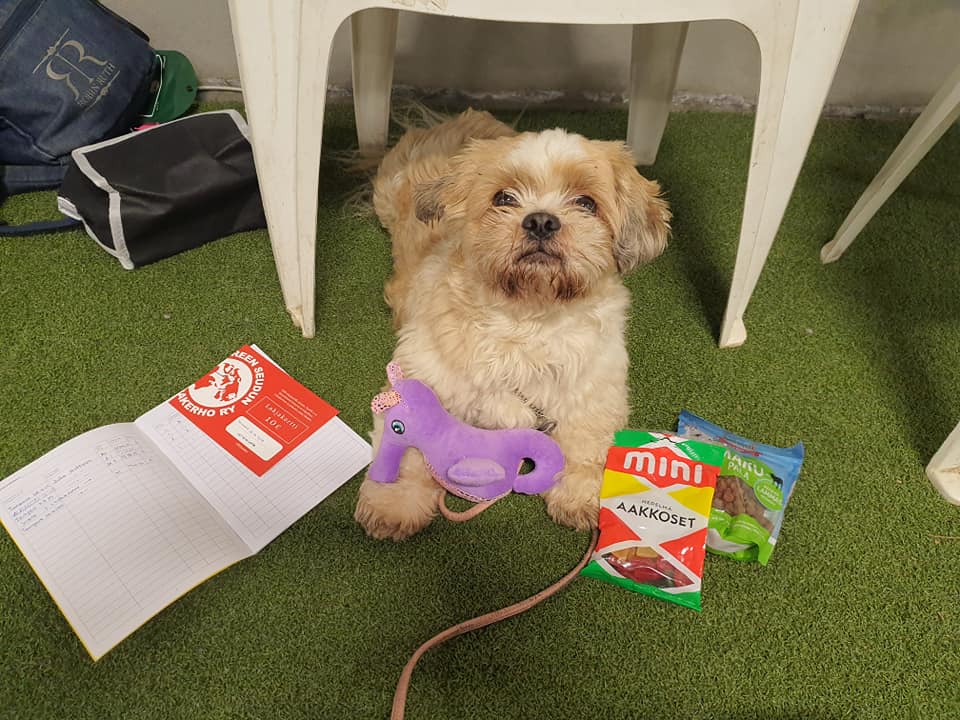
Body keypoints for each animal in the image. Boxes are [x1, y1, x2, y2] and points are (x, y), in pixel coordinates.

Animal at [354, 109, 670, 540]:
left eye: (586, 203)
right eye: (503, 198)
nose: (540, 221)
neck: (525, 320)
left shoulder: (594, 393)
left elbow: (586, 448)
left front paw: (581, 498)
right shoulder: (422, 378)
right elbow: (408, 451)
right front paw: (394, 504)